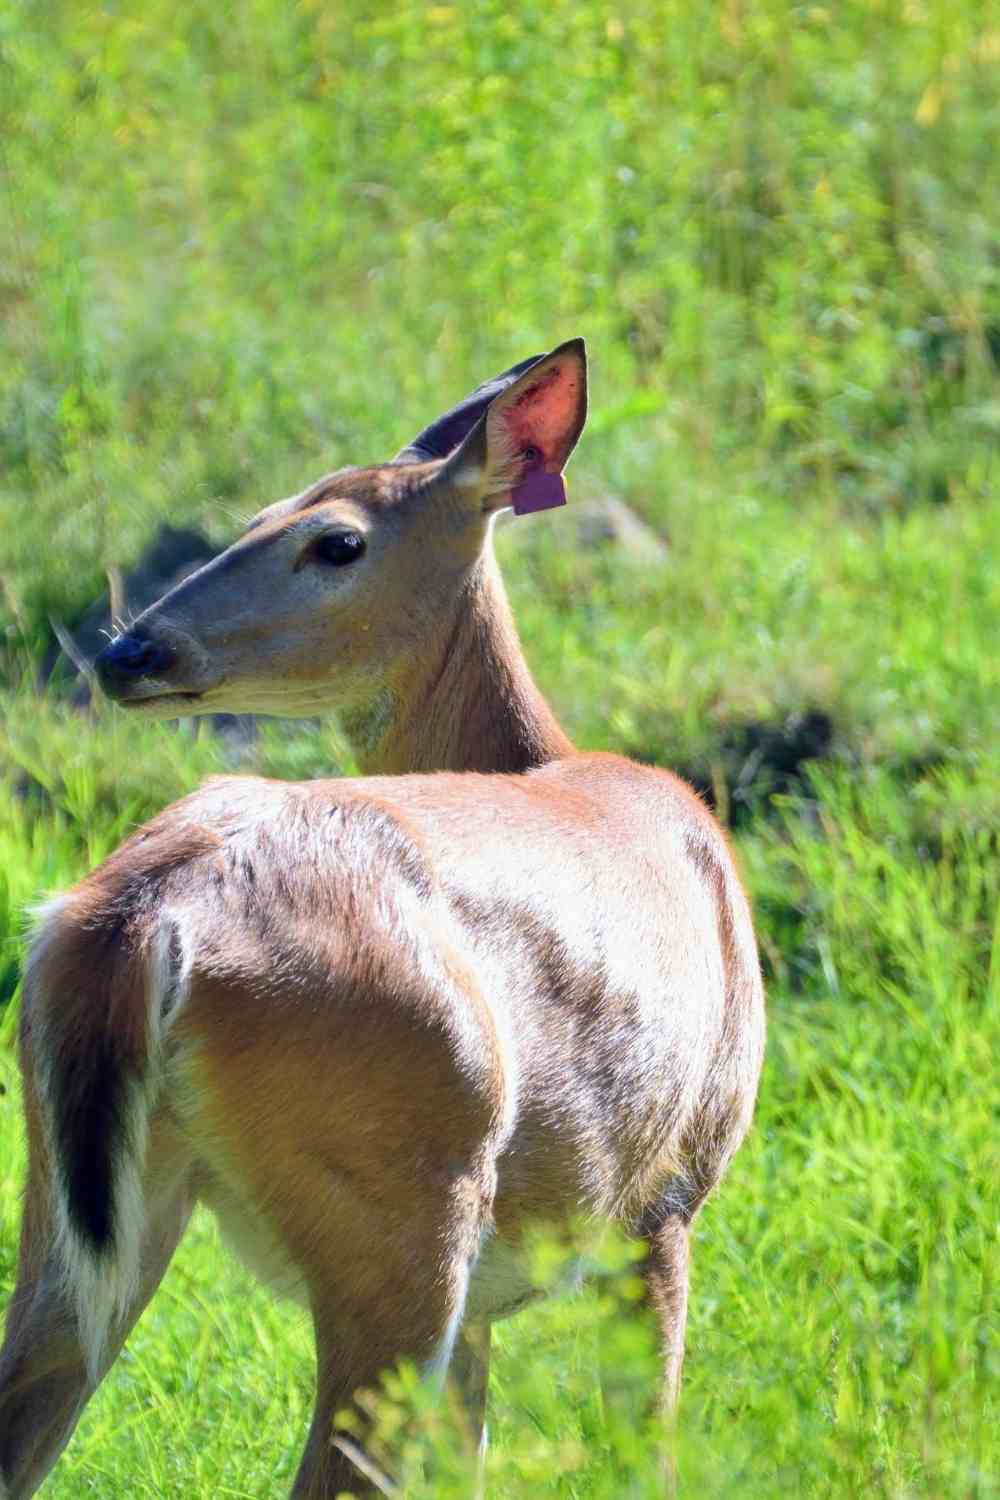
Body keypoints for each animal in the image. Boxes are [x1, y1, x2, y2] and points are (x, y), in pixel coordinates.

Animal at [0, 343, 767, 1500]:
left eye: (334, 538)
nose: (127, 650)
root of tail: (148, 917)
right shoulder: (666, 1196)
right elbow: (646, 1446)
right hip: (407, 1190)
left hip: (68, 1194)